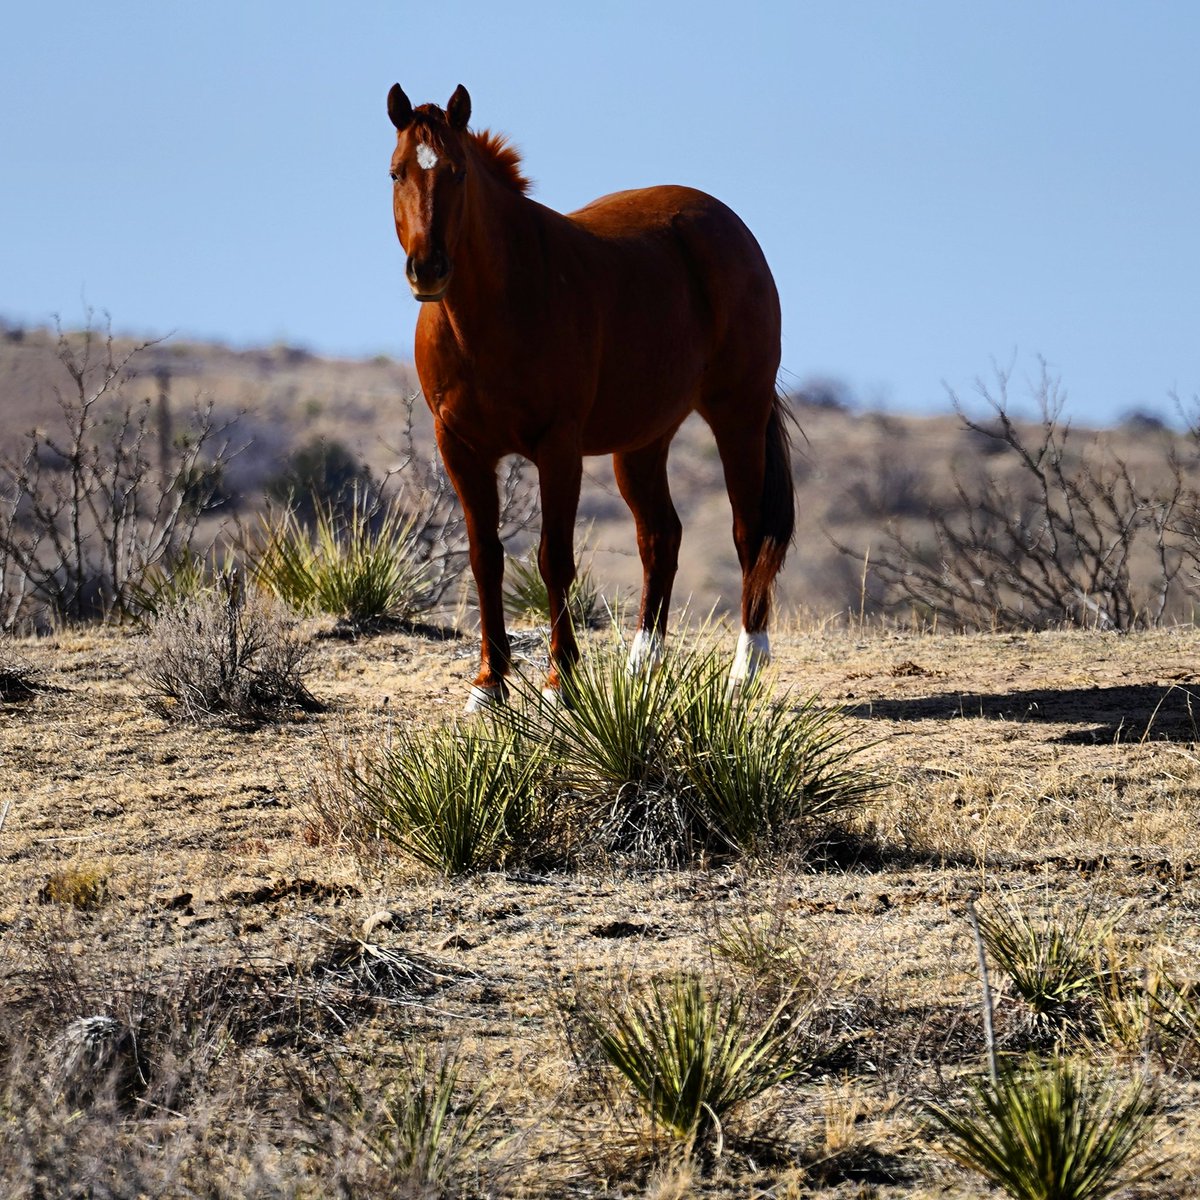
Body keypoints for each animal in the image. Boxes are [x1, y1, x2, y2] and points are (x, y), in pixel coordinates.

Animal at [387, 83, 794, 712]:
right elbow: (484, 558)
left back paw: (744, 669)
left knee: (748, 532)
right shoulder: (460, 447)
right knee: (661, 537)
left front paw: (561, 682)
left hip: (738, 416)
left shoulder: (558, 448)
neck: (499, 307)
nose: (427, 269)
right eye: (396, 172)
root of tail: (729, 228)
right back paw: (642, 665)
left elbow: (553, 559)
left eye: (456, 172)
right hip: (643, 441)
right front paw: (489, 685)